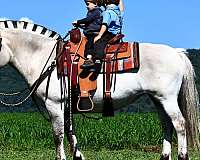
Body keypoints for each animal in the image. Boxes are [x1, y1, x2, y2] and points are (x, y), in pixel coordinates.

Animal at [0, 20, 199, 160]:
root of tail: (177, 52)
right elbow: (70, 132)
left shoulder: (55, 105)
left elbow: (58, 134)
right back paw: (164, 156)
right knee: (167, 124)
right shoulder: (66, 106)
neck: (45, 58)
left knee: (180, 124)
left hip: (167, 99)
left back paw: (183, 156)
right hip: (157, 99)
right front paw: (78, 156)